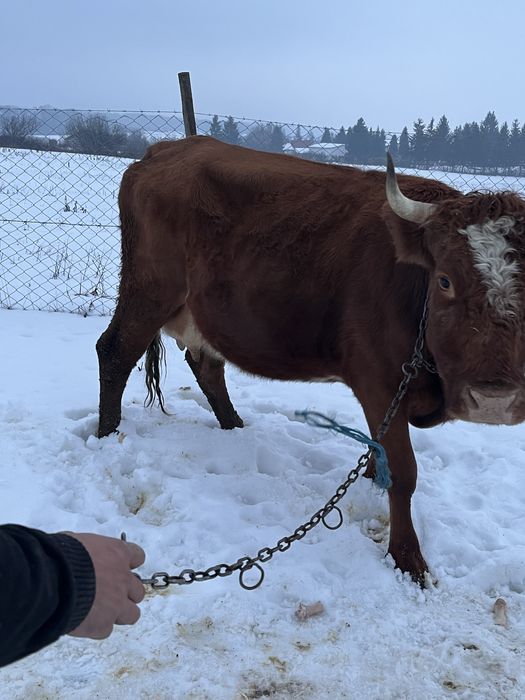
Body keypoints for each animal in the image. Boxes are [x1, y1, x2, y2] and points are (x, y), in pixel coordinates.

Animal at [97, 135, 525, 583]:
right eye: (444, 280)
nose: (493, 401)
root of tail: (172, 147)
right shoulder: (378, 380)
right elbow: (404, 474)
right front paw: (409, 560)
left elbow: (380, 450)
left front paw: (372, 478)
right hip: (150, 289)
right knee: (114, 352)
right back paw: (108, 435)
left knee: (207, 366)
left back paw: (234, 427)